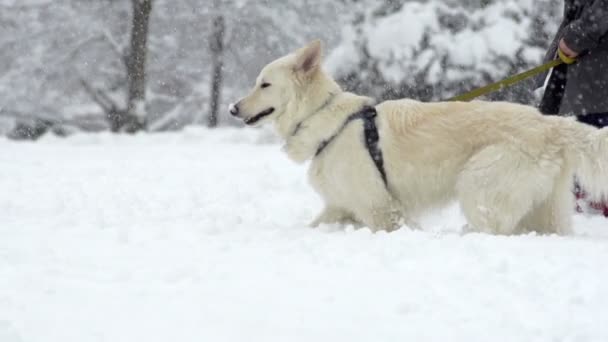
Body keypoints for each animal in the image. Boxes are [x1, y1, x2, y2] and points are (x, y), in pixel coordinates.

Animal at [229, 38, 608, 234]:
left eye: (264, 84)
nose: (232, 108)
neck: (325, 117)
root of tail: (551, 124)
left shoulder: (380, 207)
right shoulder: (340, 204)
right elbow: (315, 224)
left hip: (478, 185)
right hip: (546, 209)